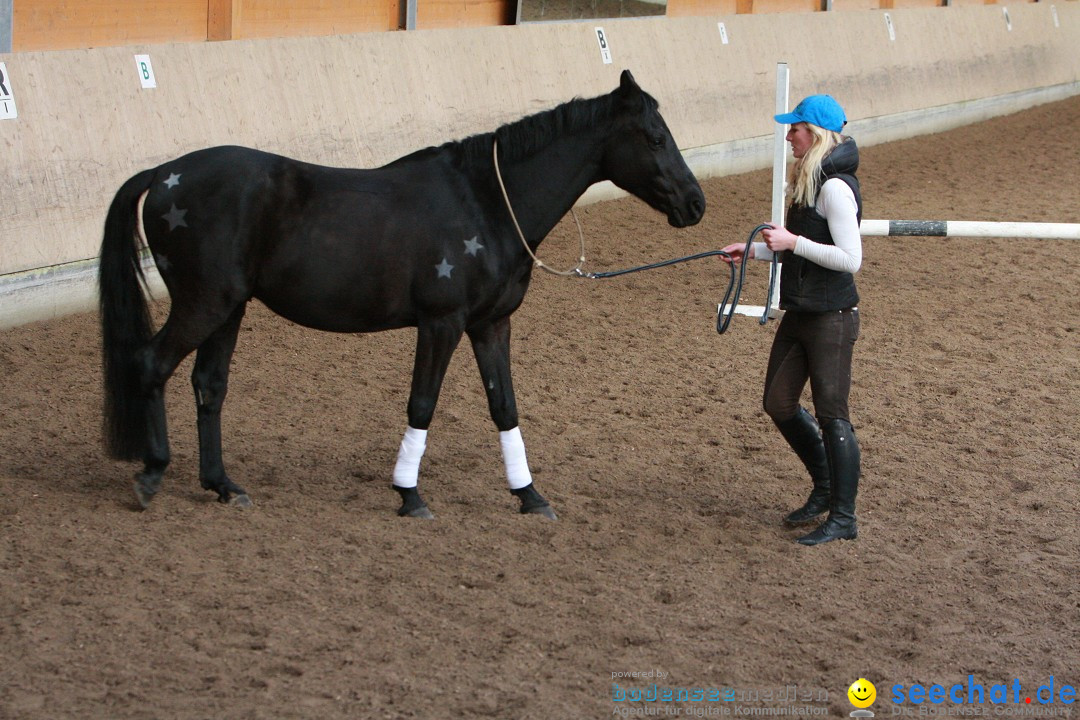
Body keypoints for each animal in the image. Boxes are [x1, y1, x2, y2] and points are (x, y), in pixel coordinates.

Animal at [99, 69, 708, 518]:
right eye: (655, 137)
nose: (695, 203)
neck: (486, 202)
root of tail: (165, 174)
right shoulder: (442, 322)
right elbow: (423, 403)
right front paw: (410, 495)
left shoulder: (491, 325)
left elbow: (504, 406)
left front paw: (529, 496)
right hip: (202, 304)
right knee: (152, 364)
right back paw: (152, 473)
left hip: (228, 308)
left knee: (209, 385)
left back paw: (223, 485)